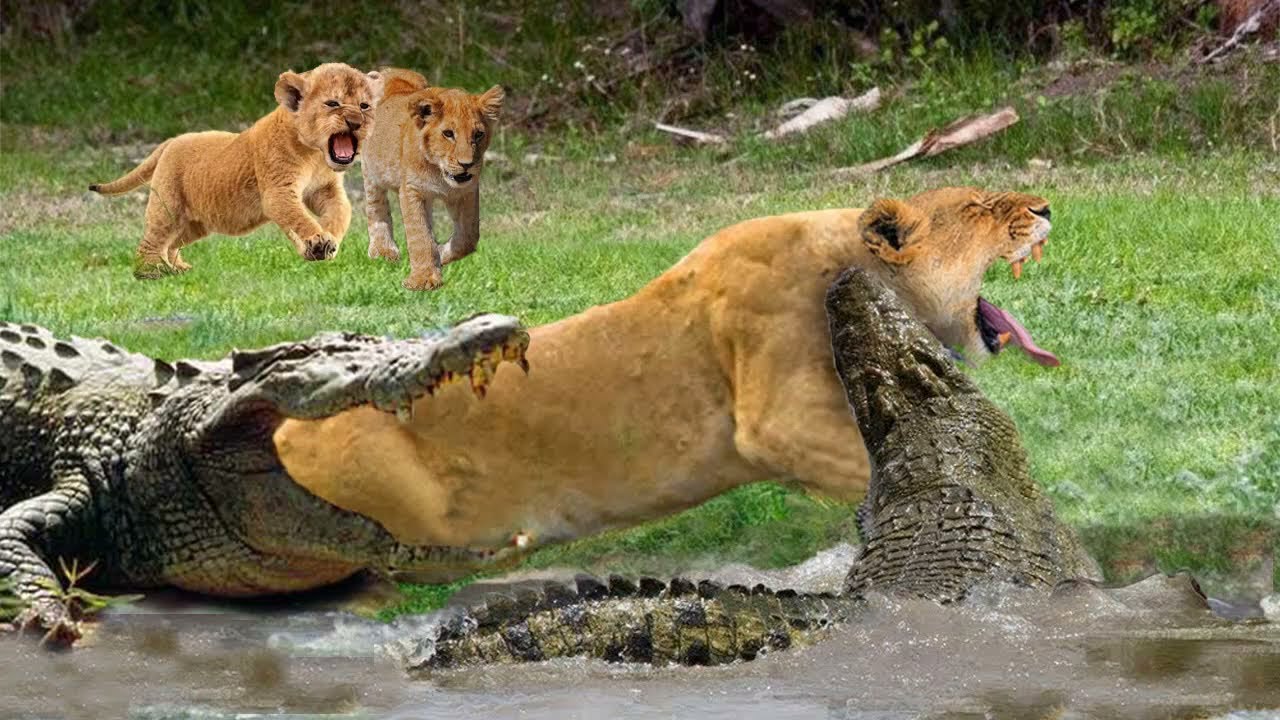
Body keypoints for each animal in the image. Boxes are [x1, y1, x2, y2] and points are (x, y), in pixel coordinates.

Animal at [89, 63, 378, 279]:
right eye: (332, 103)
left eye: (364, 106)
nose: (355, 122)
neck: (315, 155)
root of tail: (172, 141)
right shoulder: (278, 192)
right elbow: (299, 217)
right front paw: (317, 240)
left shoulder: (326, 189)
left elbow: (340, 212)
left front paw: (327, 241)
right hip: (168, 207)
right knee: (151, 242)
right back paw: (152, 272)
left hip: (195, 222)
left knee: (172, 243)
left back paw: (179, 268)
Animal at [360, 68, 504, 291]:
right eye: (448, 134)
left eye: (478, 134)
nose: (467, 163)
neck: (439, 173)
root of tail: (393, 73)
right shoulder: (412, 191)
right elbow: (420, 235)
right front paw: (423, 280)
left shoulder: (465, 192)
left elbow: (468, 237)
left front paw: (441, 255)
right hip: (371, 172)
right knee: (376, 207)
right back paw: (383, 251)